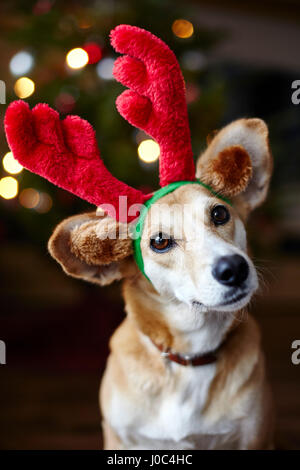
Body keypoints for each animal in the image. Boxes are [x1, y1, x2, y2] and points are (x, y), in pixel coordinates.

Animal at [48, 116, 274, 448]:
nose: (234, 268)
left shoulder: (255, 438)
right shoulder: (118, 438)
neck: (190, 357)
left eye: (220, 213)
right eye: (160, 242)